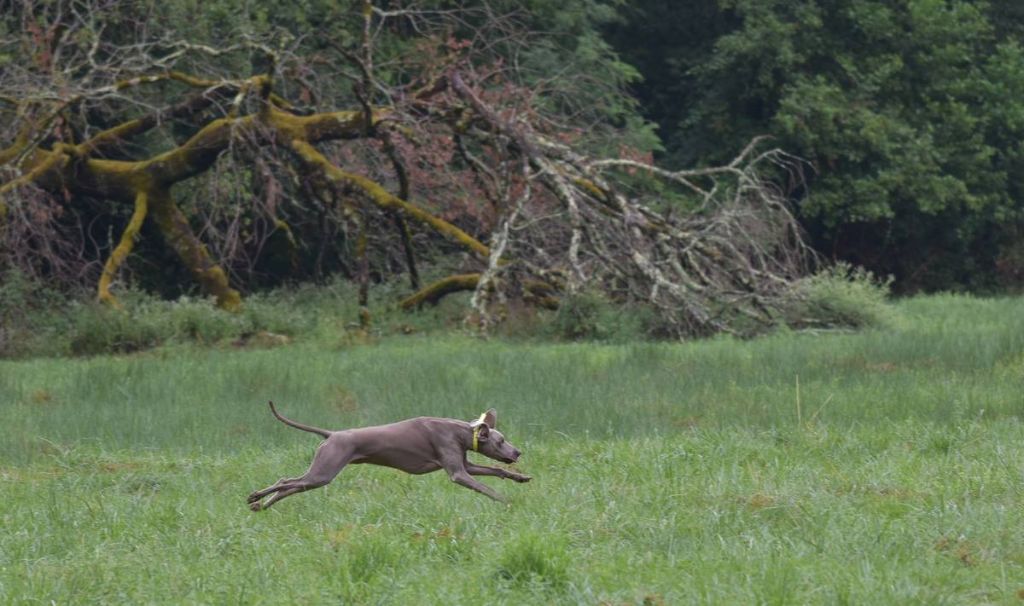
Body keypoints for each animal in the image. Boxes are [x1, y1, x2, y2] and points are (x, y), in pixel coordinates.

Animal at [248, 403, 532, 511]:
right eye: (501, 441)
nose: (517, 452)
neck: (461, 432)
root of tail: (332, 434)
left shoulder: (466, 465)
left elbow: (496, 471)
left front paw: (520, 478)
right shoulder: (458, 473)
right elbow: (485, 488)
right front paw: (507, 501)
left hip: (319, 474)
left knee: (290, 485)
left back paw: (261, 505)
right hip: (324, 471)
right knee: (286, 482)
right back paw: (254, 497)